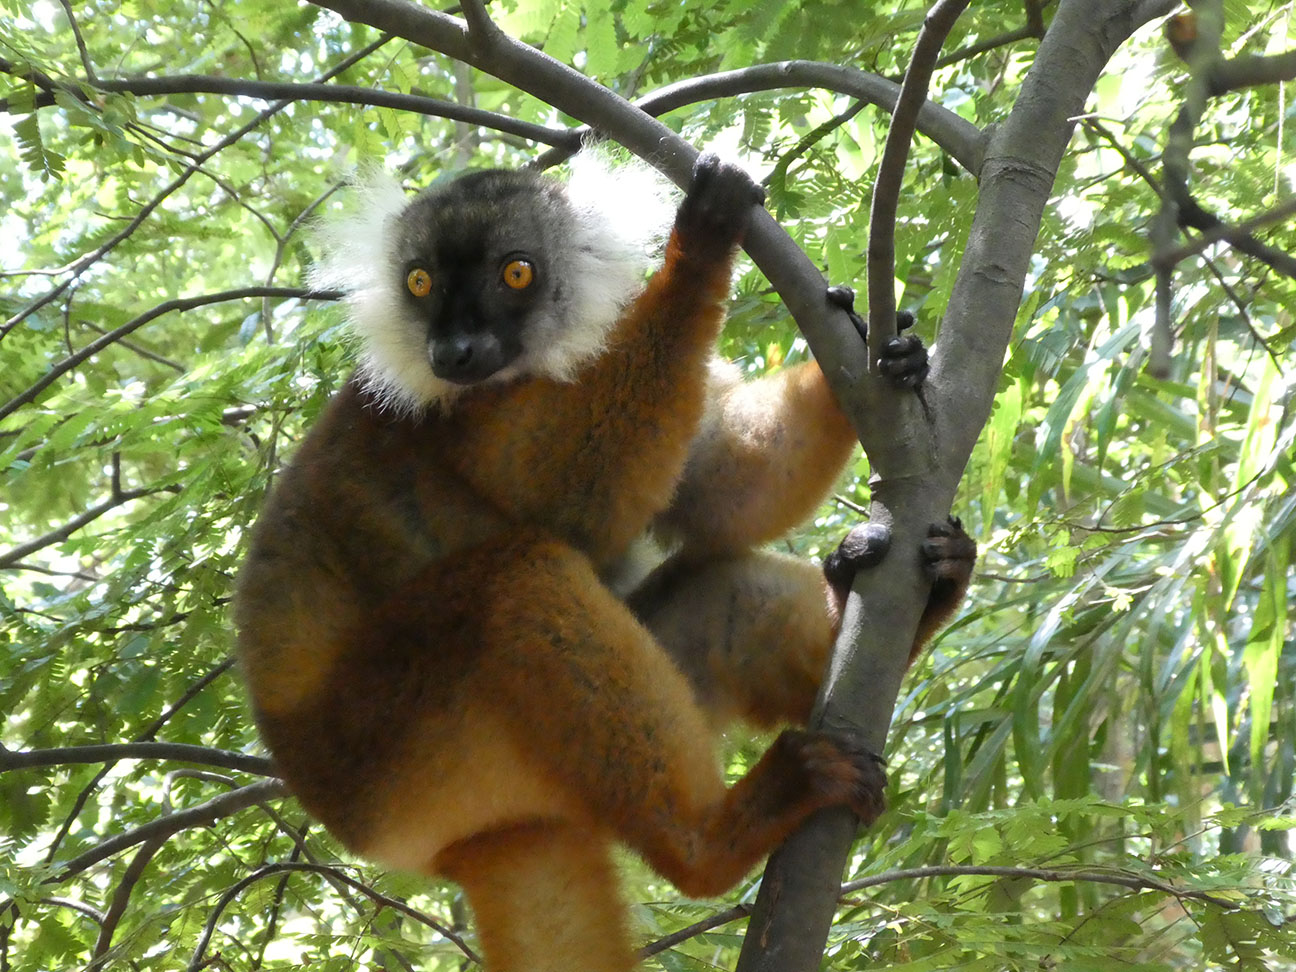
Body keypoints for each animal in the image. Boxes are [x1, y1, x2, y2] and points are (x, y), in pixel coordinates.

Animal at [235, 153, 975, 972]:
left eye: (515, 273)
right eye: (421, 284)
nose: (452, 353)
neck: (531, 367)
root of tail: (464, 843)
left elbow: (720, 489)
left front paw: (881, 349)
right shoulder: (458, 418)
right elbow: (575, 501)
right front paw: (701, 242)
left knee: (718, 590)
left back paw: (918, 601)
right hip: (400, 753)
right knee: (518, 577)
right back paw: (715, 839)